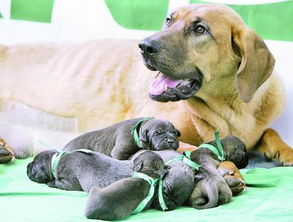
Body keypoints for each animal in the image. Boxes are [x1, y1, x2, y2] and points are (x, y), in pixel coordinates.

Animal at [0, 3, 290, 165]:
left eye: (200, 29)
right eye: (169, 20)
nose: (144, 46)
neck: (231, 109)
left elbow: (269, 132)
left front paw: (285, 150)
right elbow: (192, 146)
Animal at [26, 148, 162, 192]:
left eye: (33, 166)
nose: (27, 165)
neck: (56, 160)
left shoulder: (69, 182)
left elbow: (58, 183)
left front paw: (51, 183)